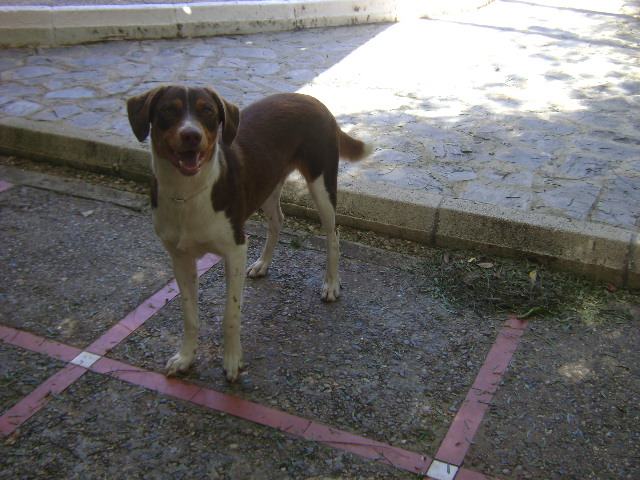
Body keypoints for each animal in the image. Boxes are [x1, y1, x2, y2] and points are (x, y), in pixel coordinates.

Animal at [127, 84, 372, 380]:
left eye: (207, 111)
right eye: (167, 109)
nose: (191, 135)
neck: (187, 193)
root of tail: (312, 100)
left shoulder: (235, 250)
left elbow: (230, 315)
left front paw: (232, 361)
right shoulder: (180, 258)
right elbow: (189, 315)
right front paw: (186, 357)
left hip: (321, 183)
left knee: (333, 235)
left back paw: (331, 284)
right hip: (267, 183)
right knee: (277, 220)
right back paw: (263, 264)